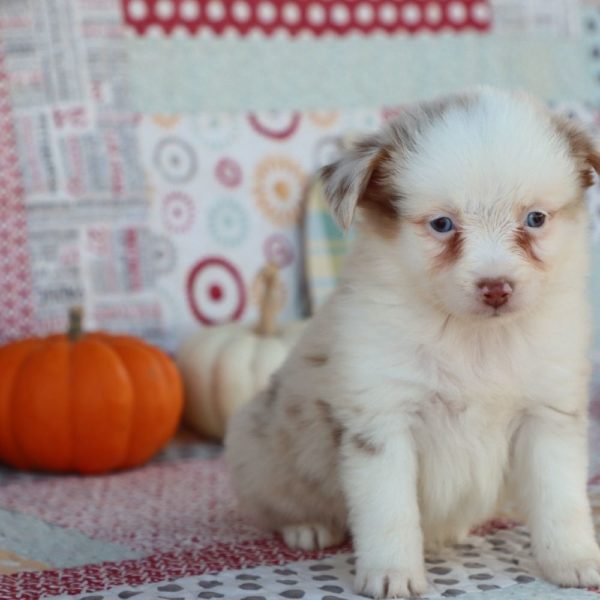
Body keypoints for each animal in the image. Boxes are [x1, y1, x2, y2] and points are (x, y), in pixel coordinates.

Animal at [224, 86, 600, 596]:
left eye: (536, 218)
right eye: (442, 224)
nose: (496, 288)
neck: (475, 338)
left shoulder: (548, 416)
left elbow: (560, 500)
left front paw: (574, 560)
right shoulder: (383, 420)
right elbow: (389, 511)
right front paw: (392, 574)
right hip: (259, 448)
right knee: (276, 502)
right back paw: (308, 527)